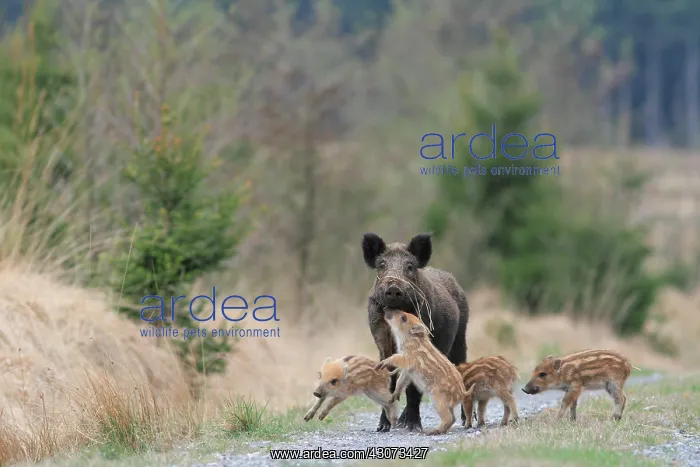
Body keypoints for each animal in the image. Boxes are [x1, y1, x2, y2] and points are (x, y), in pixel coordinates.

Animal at [362, 232, 470, 432]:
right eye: (382, 265)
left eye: (409, 266)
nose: (393, 287)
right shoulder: (381, 341)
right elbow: (389, 380)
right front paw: (383, 427)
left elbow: (413, 387)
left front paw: (411, 427)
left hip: (461, 336)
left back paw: (466, 421)